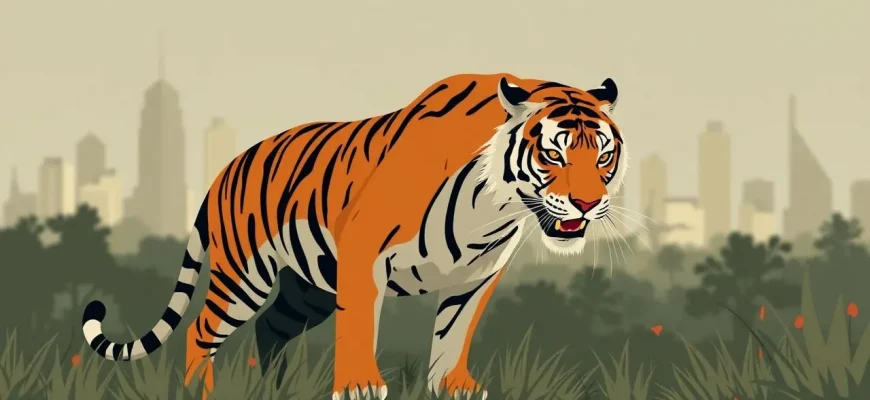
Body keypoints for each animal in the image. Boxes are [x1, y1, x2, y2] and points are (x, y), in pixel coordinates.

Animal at [79, 73, 626, 399]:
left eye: (603, 156)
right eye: (553, 154)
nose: (587, 203)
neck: (495, 205)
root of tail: (221, 173)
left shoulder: (479, 272)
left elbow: (456, 331)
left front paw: (454, 386)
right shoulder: (365, 254)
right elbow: (361, 327)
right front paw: (362, 386)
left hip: (310, 289)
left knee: (270, 327)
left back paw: (277, 389)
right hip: (244, 275)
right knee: (200, 330)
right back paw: (205, 393)